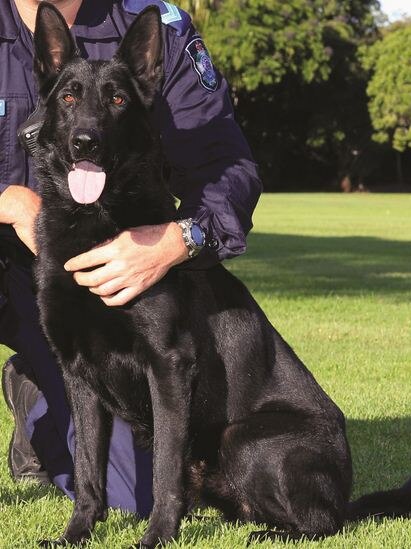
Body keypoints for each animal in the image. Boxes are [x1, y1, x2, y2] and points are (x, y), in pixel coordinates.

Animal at [31, 4, 408, 548]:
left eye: (118, 100)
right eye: (68, 97)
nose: (86, 142)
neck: (94, 223)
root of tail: (344, 492)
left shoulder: (168, 366)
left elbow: (165, 470)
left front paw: (156, 537)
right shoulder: (79, 377)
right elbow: (86, 470)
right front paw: (76, 534)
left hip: (242, 438)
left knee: (320, 523)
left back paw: (272, 534)